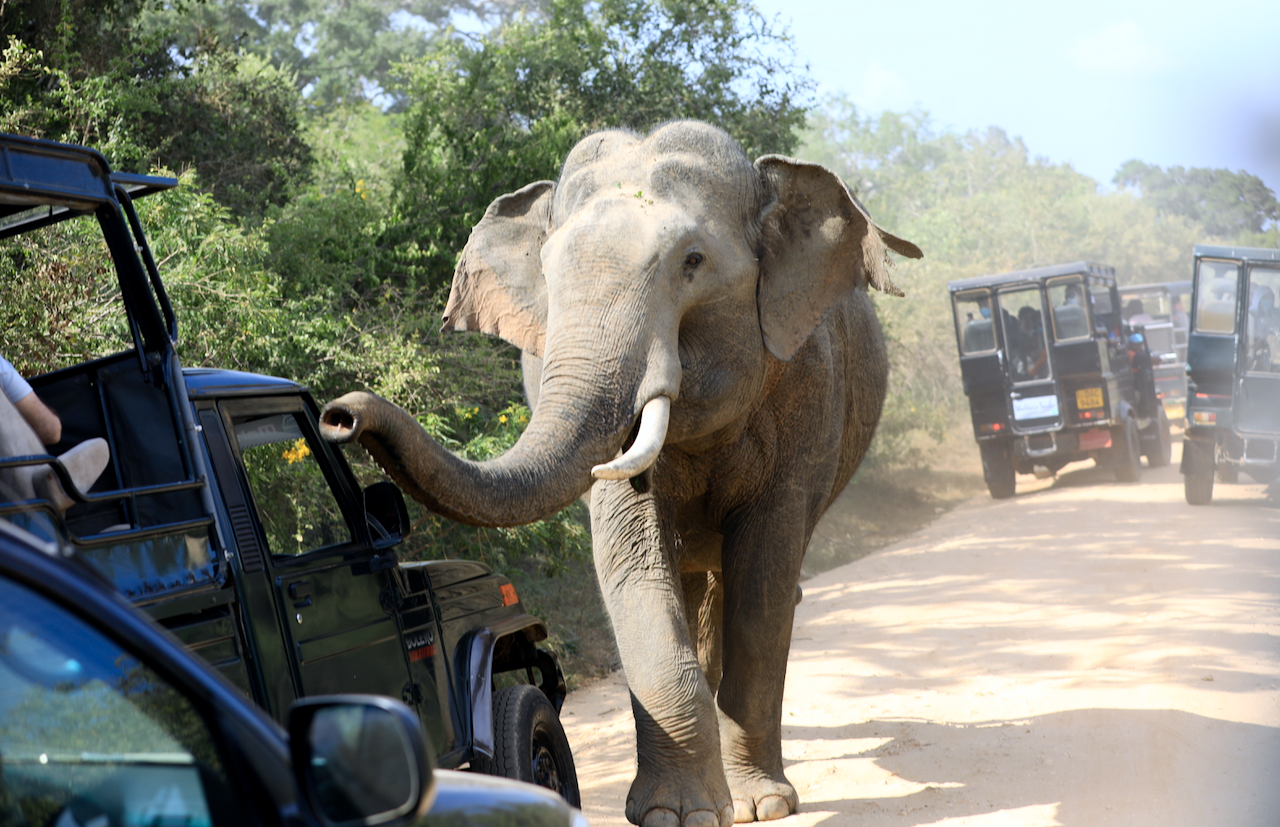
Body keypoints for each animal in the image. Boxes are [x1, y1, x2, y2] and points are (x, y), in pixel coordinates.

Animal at [320, 119, 921, 827]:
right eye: (548, 273)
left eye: (692, 263)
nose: (339, 415)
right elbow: (631, 557)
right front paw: (675, 814)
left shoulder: (807, 390)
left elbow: (765, 580)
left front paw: (760, 806)